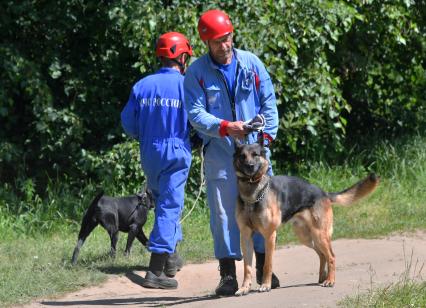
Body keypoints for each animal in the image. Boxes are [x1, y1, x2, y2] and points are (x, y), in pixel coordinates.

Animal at [233, 136, 380, 294]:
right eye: (243, 156)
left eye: (255, 155)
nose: (249, 166)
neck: (252, 194)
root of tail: (323, 193)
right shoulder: (246, 237)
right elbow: (247, 267)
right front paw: (244, 288)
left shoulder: (270, 236)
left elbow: (267, 264)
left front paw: (266, 285)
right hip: (307, 237)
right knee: (322, 255)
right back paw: (322, 278)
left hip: (319, 234)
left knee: (331, 256)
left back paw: (330, 280)